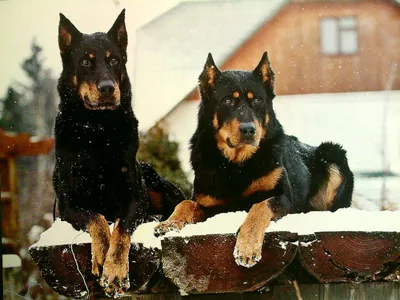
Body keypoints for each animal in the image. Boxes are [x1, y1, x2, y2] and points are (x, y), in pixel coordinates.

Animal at [53, 10, 184, 296]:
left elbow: (122, 227)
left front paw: (114, 269)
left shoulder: (135, 199)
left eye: (113, 60)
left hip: (157, 181)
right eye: (85, 62)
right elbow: (97, 218)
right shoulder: (67, 207)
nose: (107, 88)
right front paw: (102, 251)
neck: (98, 129)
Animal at [155, 51, 354, 268]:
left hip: (332, 154)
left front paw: (247, 246)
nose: (249, 130)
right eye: (227, 101)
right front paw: (169, 223)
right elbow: (185, 203)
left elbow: (259, 207)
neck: (236, 165)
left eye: (257, 100)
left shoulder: (284, 198)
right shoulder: (210, 206)